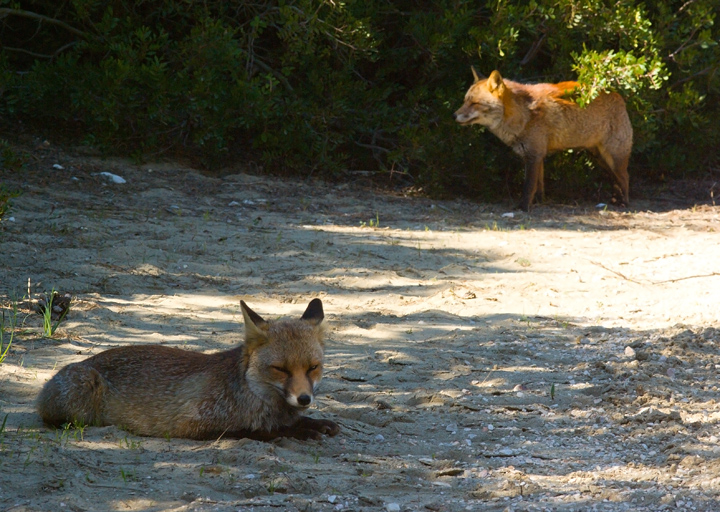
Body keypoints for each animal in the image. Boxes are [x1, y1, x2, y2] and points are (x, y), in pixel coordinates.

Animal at [33, 300, 338, 440]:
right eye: (280, 369)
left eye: (313, 368)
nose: (304, 399)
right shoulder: (193, 423)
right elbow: (257, 432)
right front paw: (298, 431)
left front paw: (312, 422)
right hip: (81, 398)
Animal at [452, 69, 632, 211]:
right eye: (465, 101)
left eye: (475, 103)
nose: (453, 116)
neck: (522, 115)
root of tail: (619, 97)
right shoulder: (537, 156)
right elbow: (538, 186)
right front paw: (539, 202)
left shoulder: (534, 155)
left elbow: (528, 186)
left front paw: (523, 208)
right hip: (600, 159)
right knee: (617, 181)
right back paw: (615, 200)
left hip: (614, 158)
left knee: (625, 178)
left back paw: (625, 203)